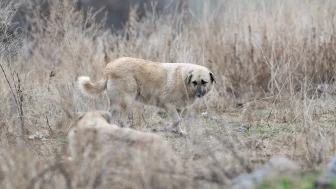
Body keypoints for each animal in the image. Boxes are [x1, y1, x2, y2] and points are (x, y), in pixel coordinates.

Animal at [76, 56, 215, 134]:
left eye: (204, 82)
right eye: (195, 82)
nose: (199, 94)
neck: (184, 80)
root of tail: (109, 68)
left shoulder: (178, 109)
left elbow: (178, 121)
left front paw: (179, 131)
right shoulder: (169, 105)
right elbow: (177, 120)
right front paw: (168, 128)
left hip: (117, 103)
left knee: (110, 115)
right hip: (127, 101)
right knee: (121, 119)